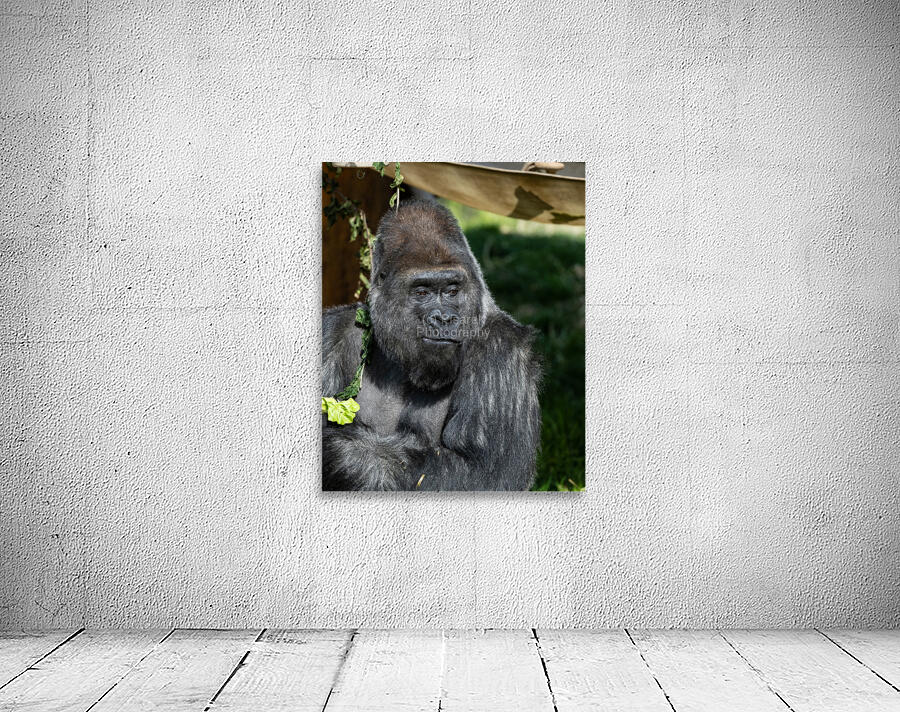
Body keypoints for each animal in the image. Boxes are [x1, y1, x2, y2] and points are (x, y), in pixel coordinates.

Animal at [322, 200, 541, 491]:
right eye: (422, 291)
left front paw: (333, 450)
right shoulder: (332, 333)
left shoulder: (502, 354)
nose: (444, 318)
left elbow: (483, 473)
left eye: (452, 290)